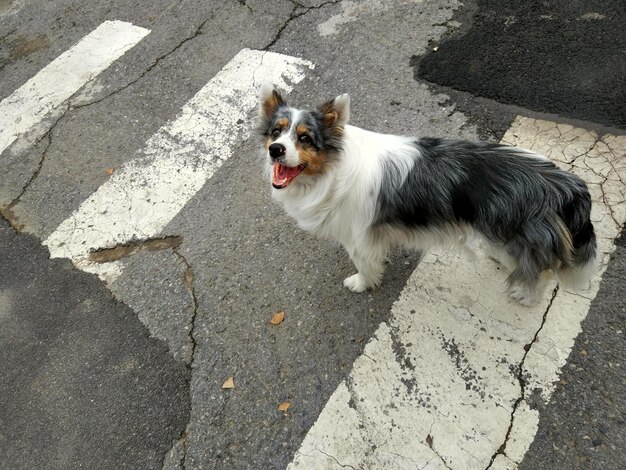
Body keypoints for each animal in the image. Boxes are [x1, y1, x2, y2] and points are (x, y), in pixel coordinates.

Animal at [258, 85, 596, 306]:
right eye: (276, 132)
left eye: (305, 138)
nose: (275, 150)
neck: (332, 167)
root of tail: (565, 184)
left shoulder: (358, 236)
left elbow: (365, 265)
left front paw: (361, 284)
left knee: (543, 272)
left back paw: (525, 296)